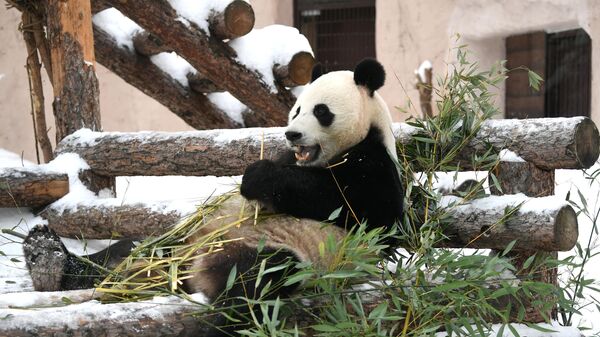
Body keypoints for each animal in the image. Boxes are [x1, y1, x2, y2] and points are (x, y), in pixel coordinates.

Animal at [24, 57, 408, 334]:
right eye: (298, 108)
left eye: (322, 111)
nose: (292, 134)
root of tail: (188, 271)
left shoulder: (375, 169)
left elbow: (355, 208)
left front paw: (257, 177)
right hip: (178, 239)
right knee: (128, 251)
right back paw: (47, 257)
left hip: (281, 251)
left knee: (255, 280)